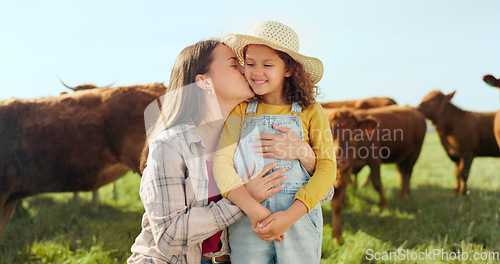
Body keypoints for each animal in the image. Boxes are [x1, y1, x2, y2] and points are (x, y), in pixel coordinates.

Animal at [326, 105, 428, 241]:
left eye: (353, 133)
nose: (339, 160)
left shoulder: (370, 161)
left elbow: (376, 184)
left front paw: (337, 235)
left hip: (415, 153)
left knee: (407, 174)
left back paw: (403, 195)